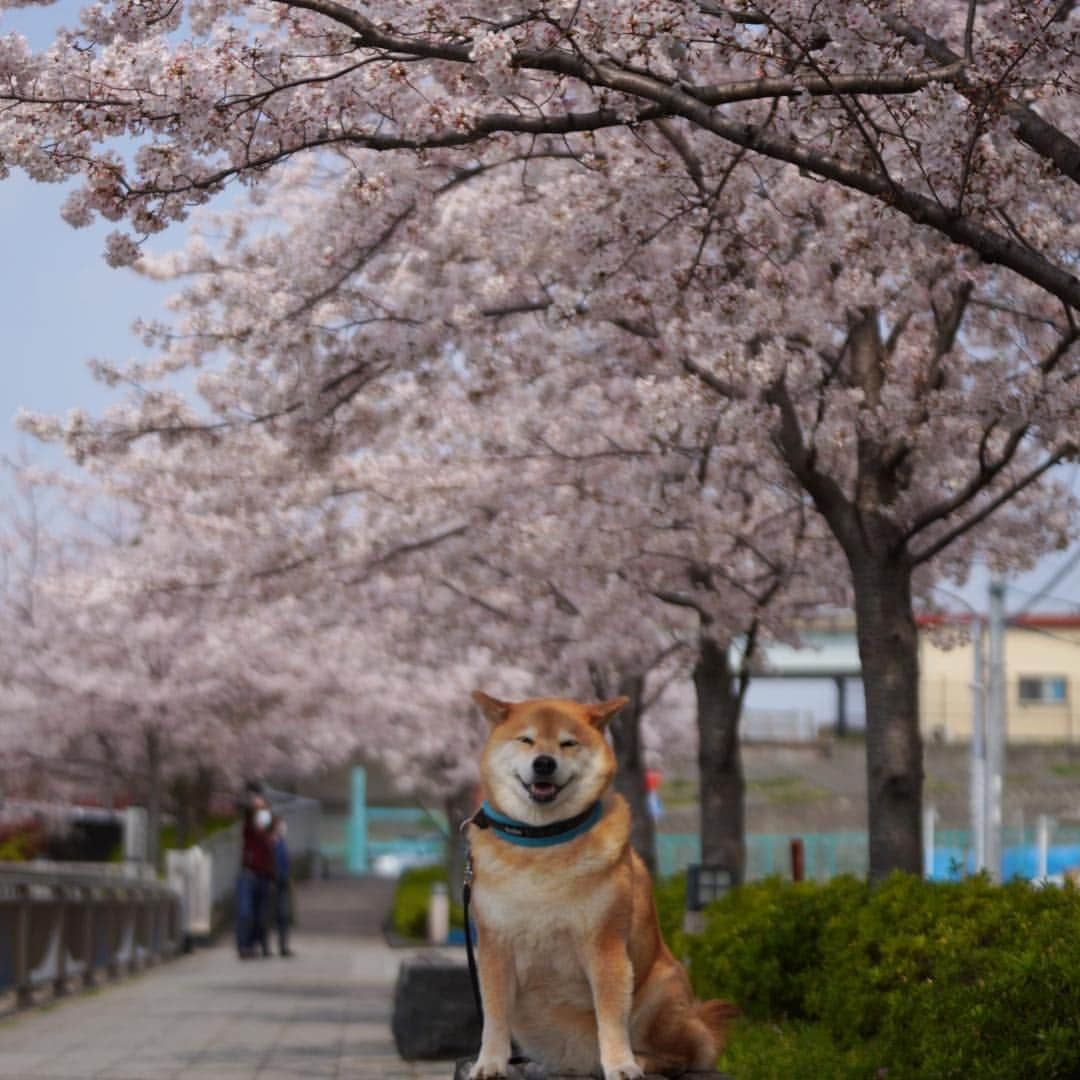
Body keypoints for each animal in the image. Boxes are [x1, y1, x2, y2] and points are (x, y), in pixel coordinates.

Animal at [464, 695, 734, 1075]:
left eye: (568, 743)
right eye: (526, 740)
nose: (544, 763)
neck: (545, 839)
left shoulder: (605, 944)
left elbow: (610, 1016)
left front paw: (621, 1065)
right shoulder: (493, 946)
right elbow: (493, 1016)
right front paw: (489, 1064)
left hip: (660, 994)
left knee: (682, 1056)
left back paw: (642, 1059)